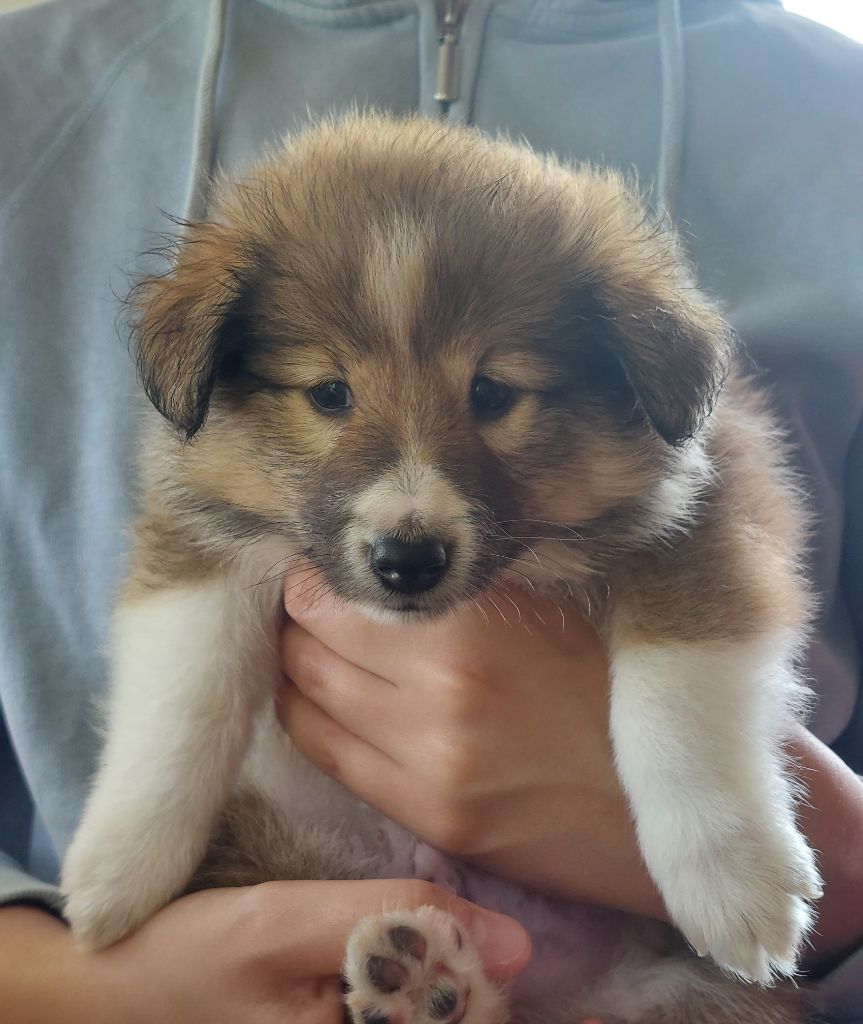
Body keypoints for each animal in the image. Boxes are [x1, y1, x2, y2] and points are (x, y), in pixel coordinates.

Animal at [62, 112, 823, 1024]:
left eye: (492, 392)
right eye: (328, 393)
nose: (407, 560)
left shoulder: (710, 516)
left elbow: (676, 704)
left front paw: (733, 879)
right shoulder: (198, 538)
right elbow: (181, 700)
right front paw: (118, 867)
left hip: (679, 997)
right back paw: (421, 977)